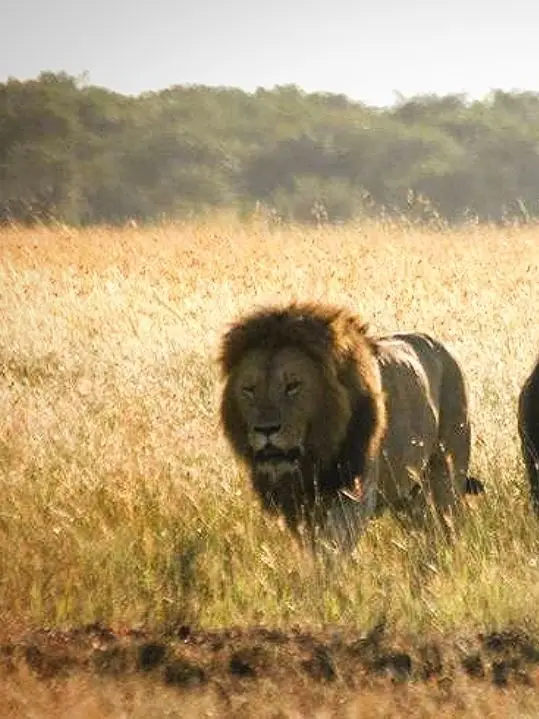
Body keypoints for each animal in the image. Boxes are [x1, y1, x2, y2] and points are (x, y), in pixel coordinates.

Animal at [219, 302, 481, 552]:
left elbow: (332, 551)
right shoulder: (298, 508)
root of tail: (444, 349)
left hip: (445, 480)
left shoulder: (353, 499)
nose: (266, 429)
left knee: (446, 532)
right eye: (249, 389)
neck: (314, 458)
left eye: (293, 385)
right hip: (408, 496)